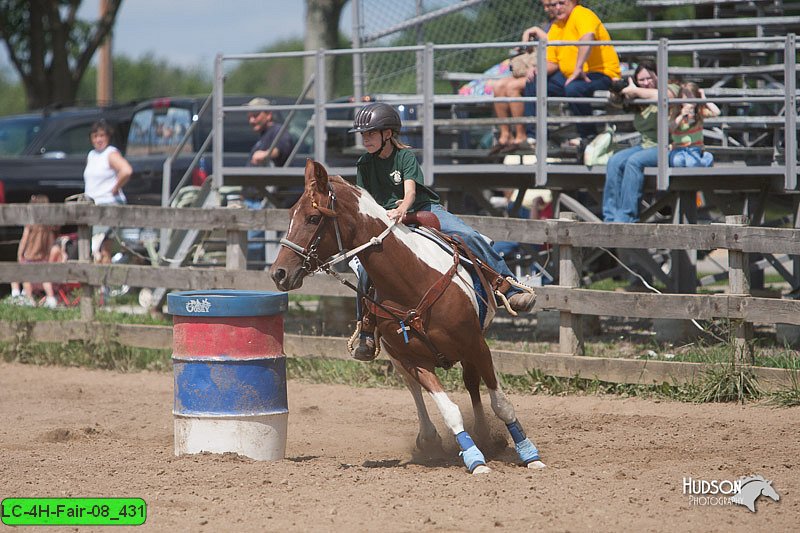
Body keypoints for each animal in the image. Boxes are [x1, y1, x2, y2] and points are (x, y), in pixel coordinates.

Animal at [268, 159, 544, 474]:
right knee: (415, 388)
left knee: (472, 383)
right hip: (396, 354)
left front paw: (529, 454)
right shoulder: (413, 359)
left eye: (313, 218)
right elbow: (448, 410)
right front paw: (474, 458)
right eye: (291, 215)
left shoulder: (476, 344)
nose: (278, 273)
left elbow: (501, 403)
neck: (413, 280)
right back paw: (432, 438)